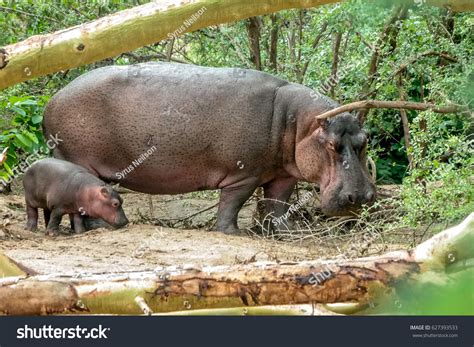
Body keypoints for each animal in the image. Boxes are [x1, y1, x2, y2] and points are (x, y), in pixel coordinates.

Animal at [42, 64, 376, 235]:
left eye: (366, 139)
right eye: (331, 144)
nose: (360, 196)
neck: (299, 124)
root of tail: (52, 101)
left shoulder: (283, 175)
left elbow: (277, 206)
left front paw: (287, 234)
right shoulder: (244, 174)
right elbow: (232, 204)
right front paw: (234, 233)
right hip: (76, 161)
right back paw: (100, 226)